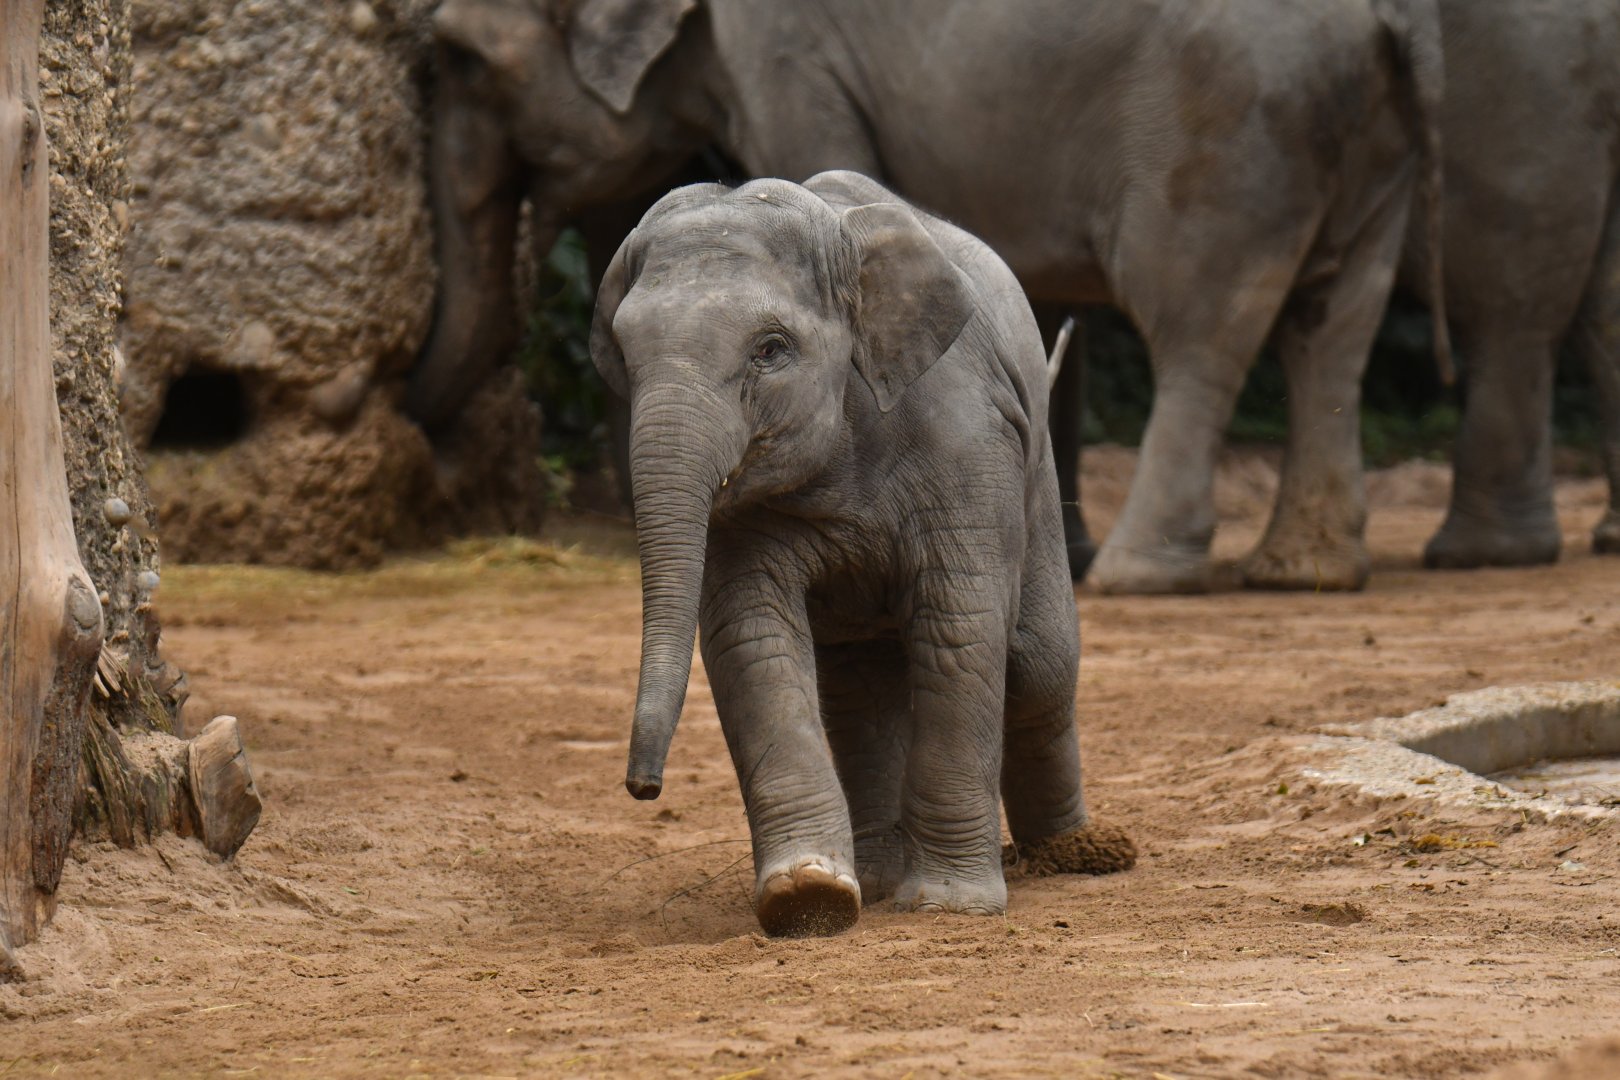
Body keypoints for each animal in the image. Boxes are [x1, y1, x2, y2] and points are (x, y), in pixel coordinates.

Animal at [408, 0, 1449, 595]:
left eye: (458, 59)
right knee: (1333, 326)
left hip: (1228, 129)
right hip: (1369, 144)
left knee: (1202, 322)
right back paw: (1308, 573)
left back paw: (1136, 576)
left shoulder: (789, 57)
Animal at [590, 171, 1132, 936]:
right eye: (623, 353)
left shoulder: (969, 442)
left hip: (1038, 479)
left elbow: (960, 625)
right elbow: (750, 638)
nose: (642, 787)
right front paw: (808, 900)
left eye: (770, 349)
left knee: (1037, 665)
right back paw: (875, 880)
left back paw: (1076, 856)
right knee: (860, 687)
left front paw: (948, 906)